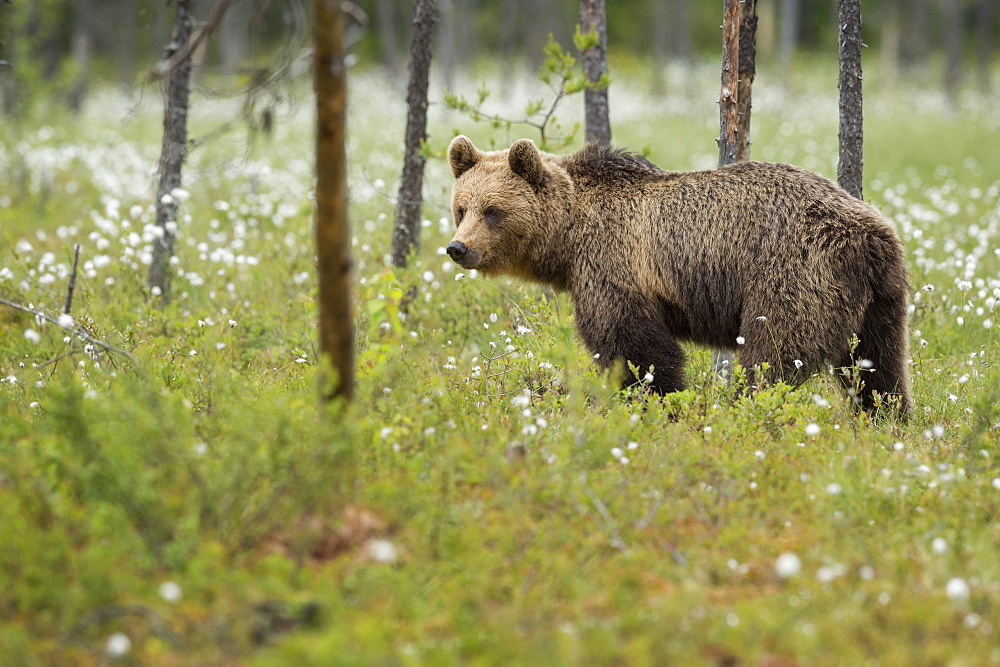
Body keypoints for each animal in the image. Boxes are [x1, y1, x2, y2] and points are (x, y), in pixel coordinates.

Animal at [450, 136, 912, 418]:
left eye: (493, 211)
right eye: (461, 208)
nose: (458, 248)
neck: (569, 236)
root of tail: (869, 232)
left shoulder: (614, 265)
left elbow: (633, 347)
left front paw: (657, 404)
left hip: (794, 272)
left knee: (773, 355)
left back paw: (745, 413)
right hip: (881, 299)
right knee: (878, 366)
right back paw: (888, 419)